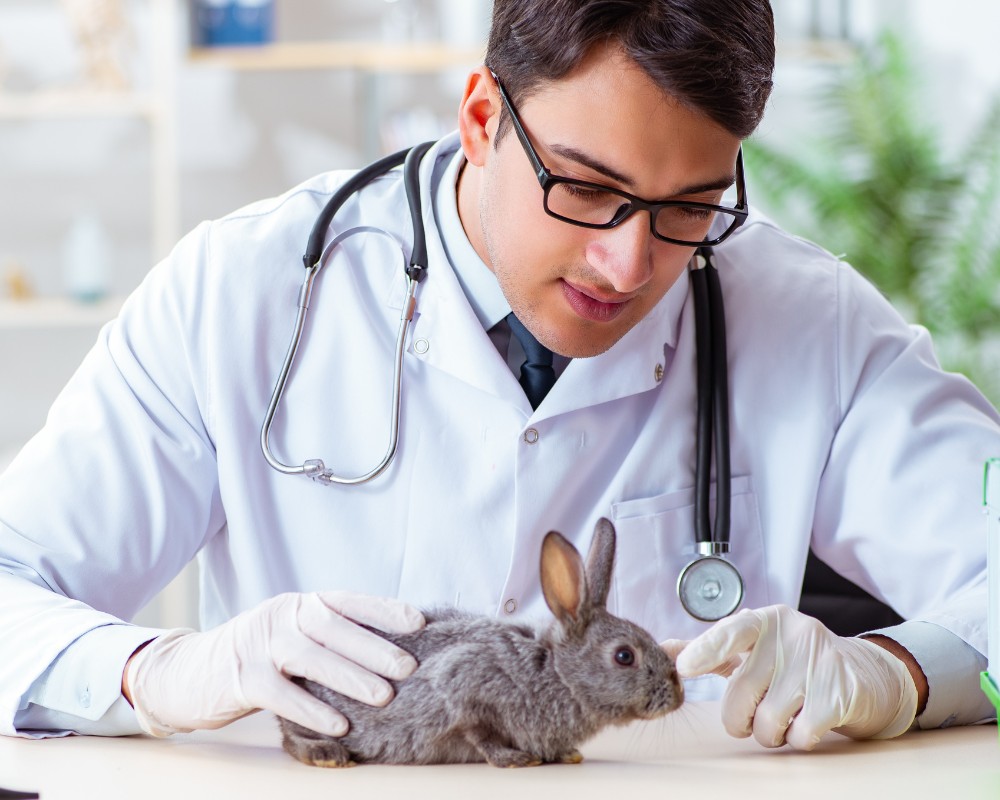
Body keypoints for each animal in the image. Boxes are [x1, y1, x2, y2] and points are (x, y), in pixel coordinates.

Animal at [278, 520, 684, 768]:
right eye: (624, 655)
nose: (678, 695)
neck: (556, 673)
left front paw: (567, 755)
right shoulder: (464, 687)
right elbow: (477, 731)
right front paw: (515, 760)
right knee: (291, 738)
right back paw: (327, 755)